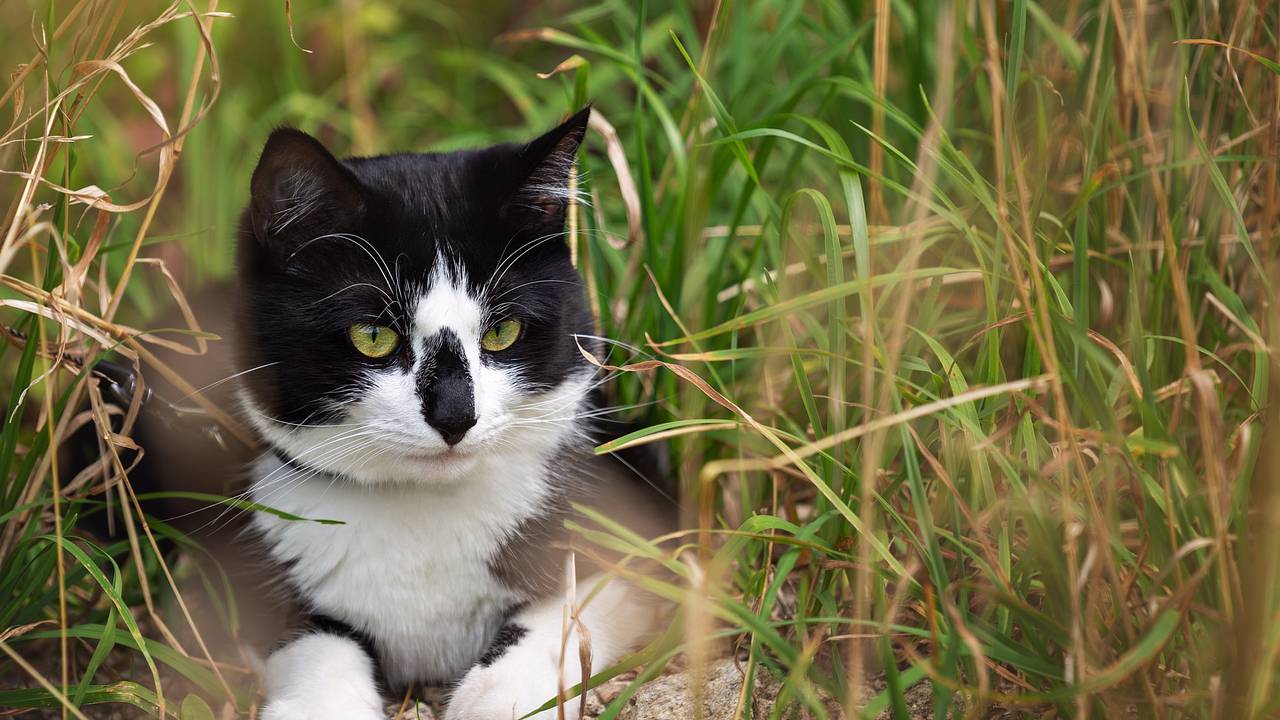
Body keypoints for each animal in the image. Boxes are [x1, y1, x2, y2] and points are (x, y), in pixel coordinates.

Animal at [231, 107, 675, 717]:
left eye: (502, 331)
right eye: (372, 336)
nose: (455, 416)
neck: (425, 512)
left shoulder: (637, 515)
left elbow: (569, 609)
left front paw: (495, 698)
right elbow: (313, 641)